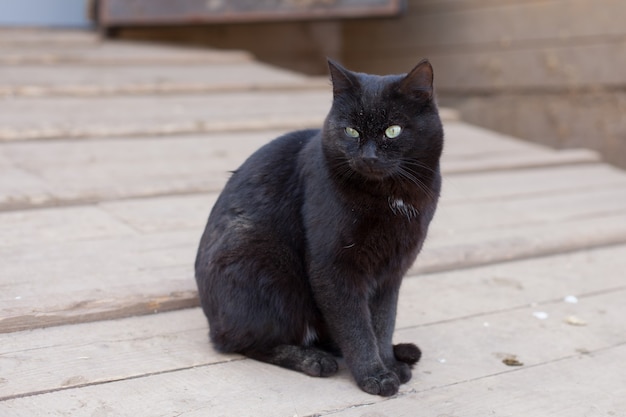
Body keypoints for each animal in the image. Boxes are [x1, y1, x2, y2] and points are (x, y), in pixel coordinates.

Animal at [195, 57, 444, 394]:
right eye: (351, 130)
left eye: (393, 131)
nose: (368, 156)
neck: (390, 196)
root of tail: (211, 317)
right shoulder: (332, 267)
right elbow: (356, 326)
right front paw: (374, 375)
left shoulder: (391, 272)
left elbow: (382, 322)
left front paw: (388, 363)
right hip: (265, 266)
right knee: (241, 341)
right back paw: (313, 360)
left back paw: (398, 353)